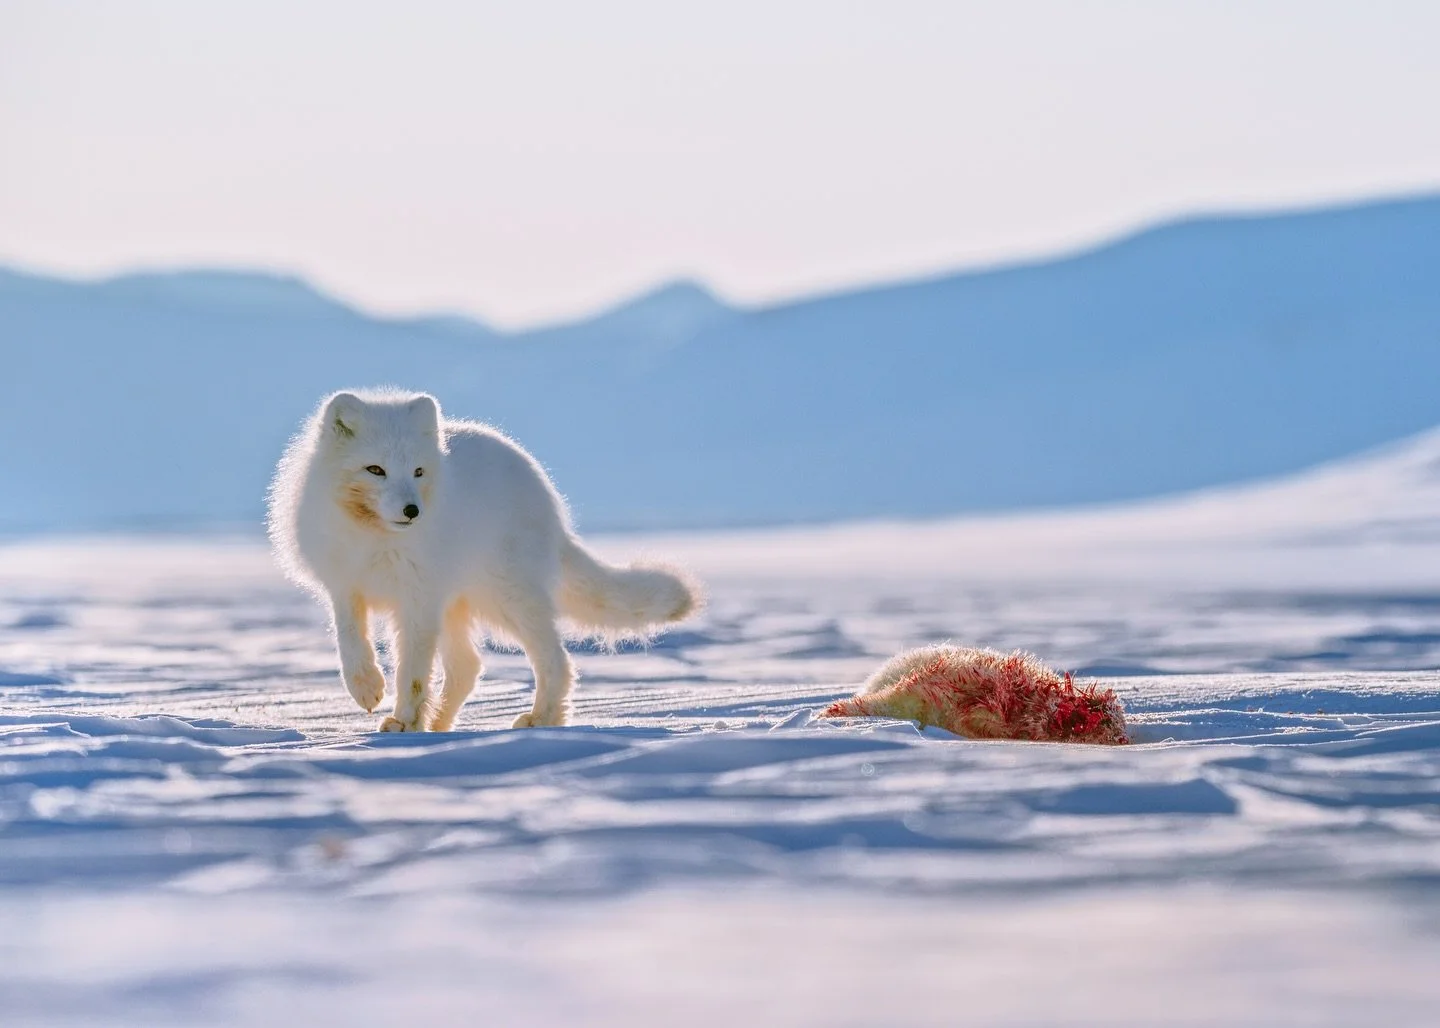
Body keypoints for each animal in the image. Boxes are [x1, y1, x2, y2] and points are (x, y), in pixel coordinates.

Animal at [267, 389, 702, 731]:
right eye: (375, 469)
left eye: (418, 471)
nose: (413, 511)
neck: (376, 539)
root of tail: (547, 496)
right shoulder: (345, 586)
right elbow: (350, 641)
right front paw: (367, 688)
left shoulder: (418, 599)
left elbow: (412, 673)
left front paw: (405, 722)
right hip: (456, 605)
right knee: (467, 667)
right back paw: (440, 723)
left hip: (506, 598)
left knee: (554, 660)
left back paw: (542, 719)